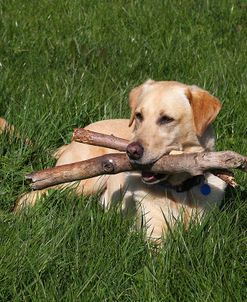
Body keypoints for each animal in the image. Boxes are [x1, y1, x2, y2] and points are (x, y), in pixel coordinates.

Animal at [14, 80, 228, 241]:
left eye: (166, 119)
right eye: (139, 116)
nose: (131, 151)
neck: (179, 190)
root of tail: (76, 136)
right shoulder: (153, 232)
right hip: (84, 182)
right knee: (33, 193)